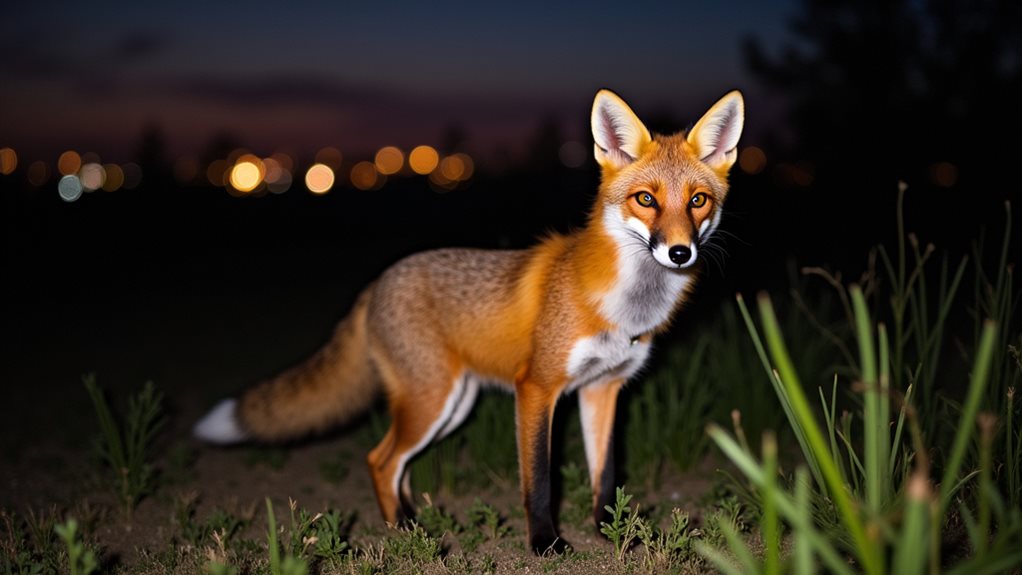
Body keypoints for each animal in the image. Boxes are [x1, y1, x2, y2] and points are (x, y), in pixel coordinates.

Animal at [194, 88, 745, 554]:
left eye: (697, 201)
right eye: (645, 199)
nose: (680, 252)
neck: (624, 304)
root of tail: (380, 280)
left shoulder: (603, 390)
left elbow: (605, 477)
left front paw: (615, 533)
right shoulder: (536, 388)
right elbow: (539, 481)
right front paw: (545, 543)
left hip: (450, 405)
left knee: (394, 465)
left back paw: (412, 523)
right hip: (432, 401)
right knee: (380, 460)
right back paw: (406, 533)